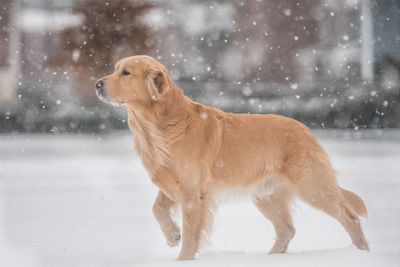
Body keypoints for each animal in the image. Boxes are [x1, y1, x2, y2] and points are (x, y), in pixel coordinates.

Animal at [96, 55, 368, 262]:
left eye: (126, 73)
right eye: (115, 69)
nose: (98, 83)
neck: (162, 124)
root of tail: (306, 130)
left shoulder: (193, 194)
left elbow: (191, 235)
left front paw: (182, 258)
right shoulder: (172, 183)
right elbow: (157, 209)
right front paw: (172, 235)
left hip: (313, 187)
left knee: (350, 218)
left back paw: (362, 253)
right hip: (265, 194)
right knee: (287, 230)